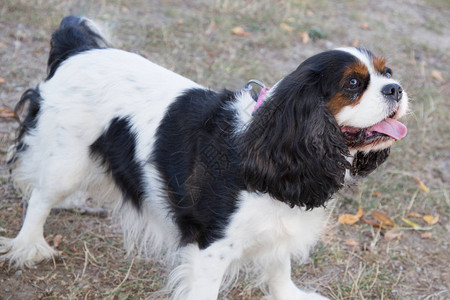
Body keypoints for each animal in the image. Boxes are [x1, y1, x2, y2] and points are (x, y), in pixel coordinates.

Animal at [0, 17, 408, 300]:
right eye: (353, 84)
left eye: (387, 72)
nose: (396, 88)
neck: (268, 143)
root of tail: (81, 49)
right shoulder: (212, 247)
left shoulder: (280, 225)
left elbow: (279, 267)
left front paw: (290, 295)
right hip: (66, 158)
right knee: (39, 197)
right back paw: (29, 245)